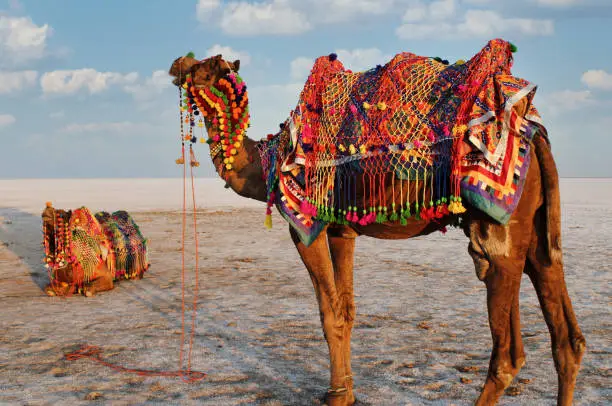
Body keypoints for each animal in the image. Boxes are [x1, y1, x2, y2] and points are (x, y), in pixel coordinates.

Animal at [169, 38, 588, 406]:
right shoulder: (342, 231)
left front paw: (337, 396)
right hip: (536, 227)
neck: (269, 162)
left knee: (508, 352)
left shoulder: (306, 225)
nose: (175, 64)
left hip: (499, 229)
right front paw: (345, 391)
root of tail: (534, 133)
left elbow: (328, 313)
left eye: (203, 67)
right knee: (566, 333)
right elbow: (346, 311)